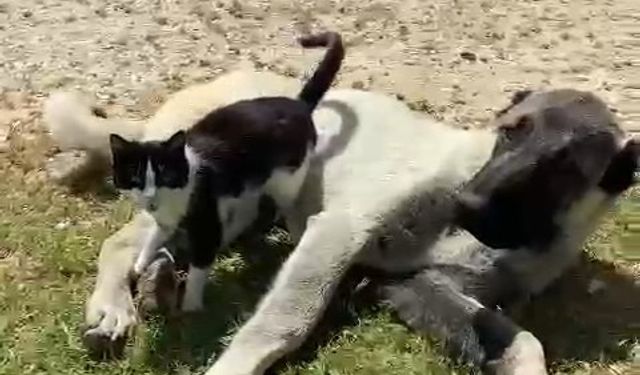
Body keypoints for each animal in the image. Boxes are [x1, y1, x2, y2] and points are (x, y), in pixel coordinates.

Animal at [110, 32, 344, 312]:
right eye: (135, 178)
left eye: (165, 176)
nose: (151, 200)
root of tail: (298, 104)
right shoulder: (168, 220)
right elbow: (155, 237)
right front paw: (140, 264)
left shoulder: (205, 218)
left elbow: (199, 267)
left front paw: (190, 309)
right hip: (247, 182)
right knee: (247, 211)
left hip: (286, 178)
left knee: (284, 208)